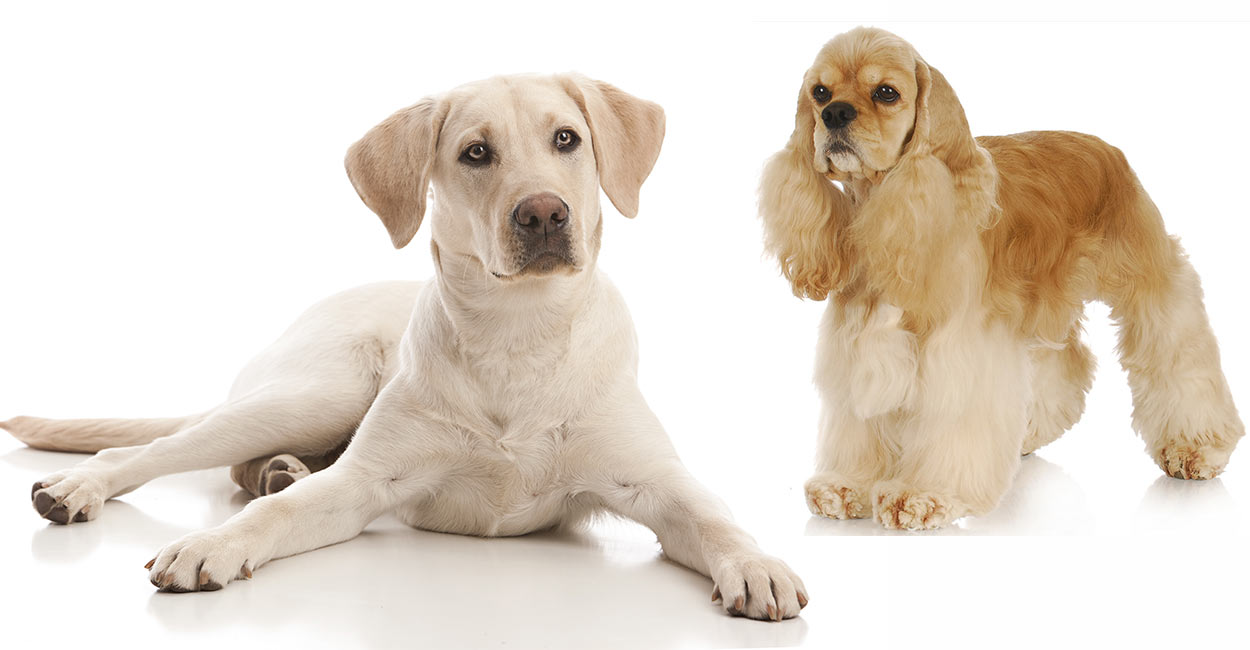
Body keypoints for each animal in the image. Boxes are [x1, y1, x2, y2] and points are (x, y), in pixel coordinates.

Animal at [4, 75, 805, 620]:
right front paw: (212, 545)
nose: (545, 213)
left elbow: (715, 515)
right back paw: (83, 488)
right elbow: (268, 520)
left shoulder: (656, 483)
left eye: (567, 140)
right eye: (476, 152)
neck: (517, 334)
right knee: (150, 451)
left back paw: (279, 471)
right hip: (318, 393)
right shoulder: (363, 485)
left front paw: (758, 563)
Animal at [755, 27, 1245, 530]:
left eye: (886, 92)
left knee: (1178, 354)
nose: (833, 114)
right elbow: (860, 421)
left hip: (1149, 281)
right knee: (1067, 361)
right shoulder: (860, 340)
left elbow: (953, 420)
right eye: (820, 92)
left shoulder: (959, 346)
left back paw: (1196, 449)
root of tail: (1105, 147)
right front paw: (849, 484)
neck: (888, 206)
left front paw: (924, 493)